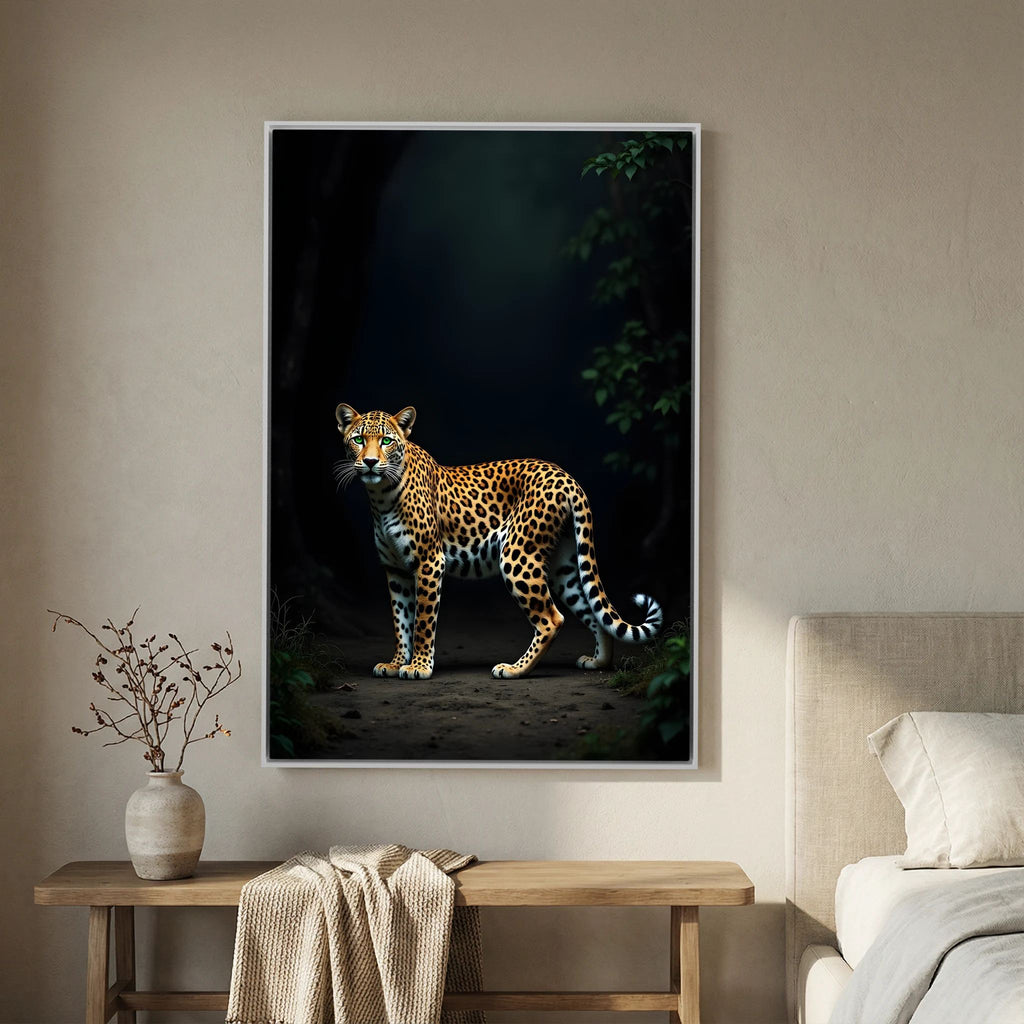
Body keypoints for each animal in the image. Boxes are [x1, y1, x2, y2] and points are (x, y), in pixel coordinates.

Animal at [334, 403, 663, 680]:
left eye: (386, 441)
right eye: (359, 439)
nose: (370, 462)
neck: (380, 496)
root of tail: (567, 477)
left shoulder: (429, 563)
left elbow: (422, 621)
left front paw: (419, 667)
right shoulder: (396, 570)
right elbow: (400, 620)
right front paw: (395, 663)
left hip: (518, 556)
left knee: (552, 618)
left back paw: (514, 669)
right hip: (562, 566)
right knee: (592, 610)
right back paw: (598, 663)